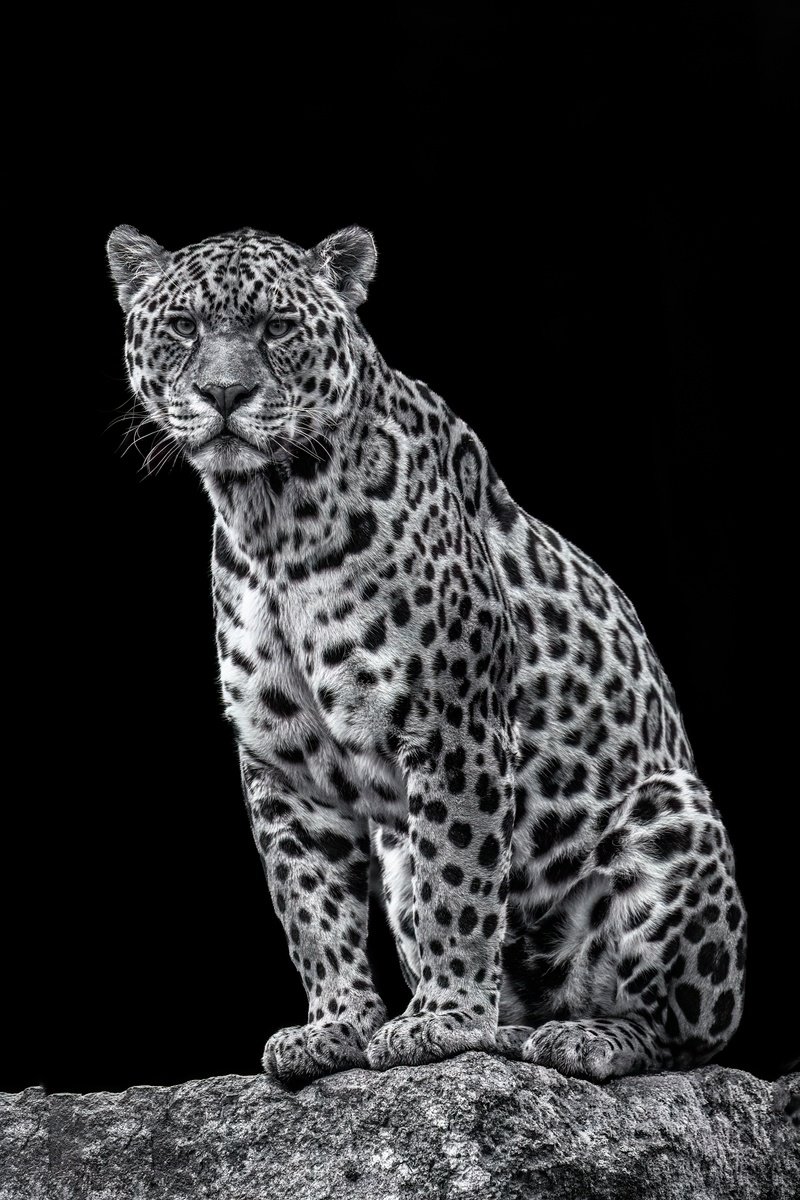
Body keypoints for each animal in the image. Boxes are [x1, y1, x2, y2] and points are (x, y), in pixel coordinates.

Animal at [107, 223, 746, 1084]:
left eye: (277, 327)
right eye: (183, 328)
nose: (224, 394)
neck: (269, 519)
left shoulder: (456, 727)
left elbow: (461, 881)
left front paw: (442, 1022)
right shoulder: (282, 761)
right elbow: (310, 903)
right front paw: (335, 1026)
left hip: (676, 820)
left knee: (679, 1036)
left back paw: (583, 1037)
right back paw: (504, 1031)